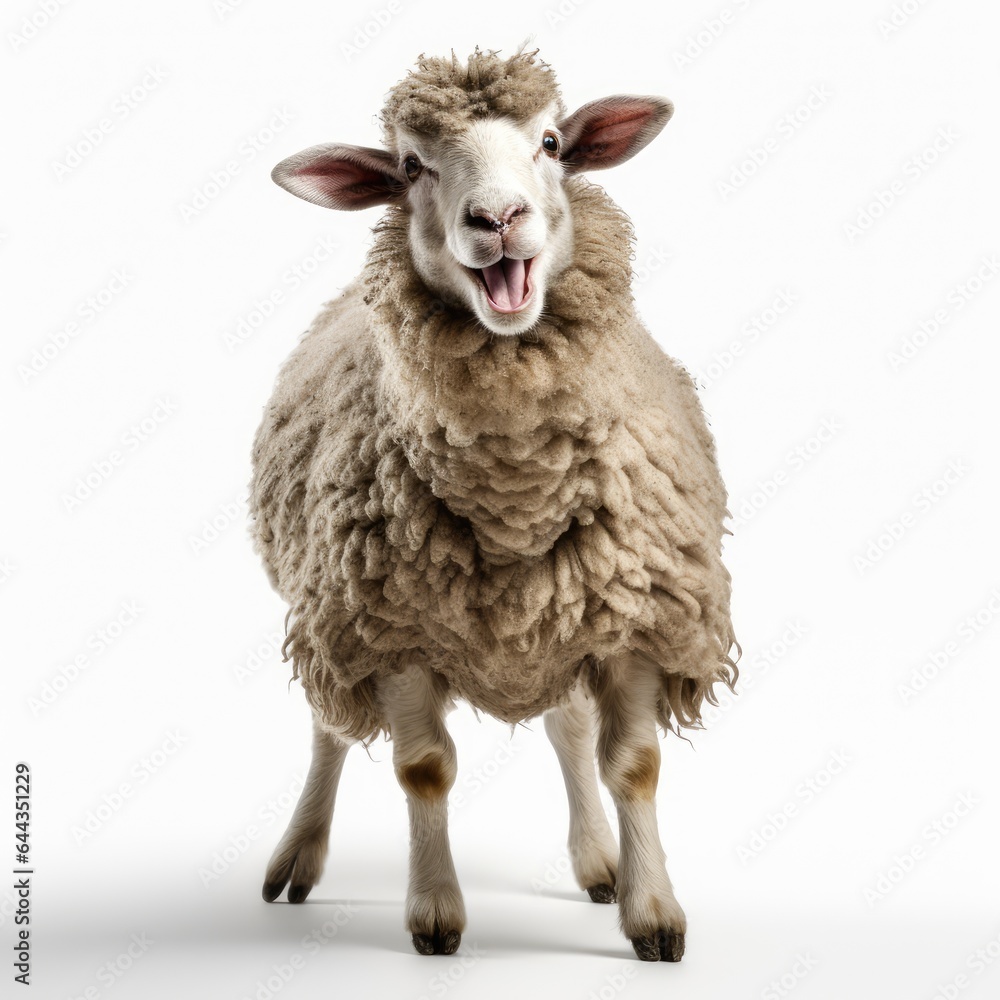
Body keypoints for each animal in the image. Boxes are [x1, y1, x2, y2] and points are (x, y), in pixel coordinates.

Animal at [249, 46, 738, 963]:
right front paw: (435, 913)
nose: (499, 217)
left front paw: (652, 911)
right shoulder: (391, 626)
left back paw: (598, 862)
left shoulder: (632, 616)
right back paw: (297, 856)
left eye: (551, 142)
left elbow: (633, 765)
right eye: (411, 165)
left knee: (569, 730)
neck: (517, 497)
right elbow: (423, 768)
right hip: (334, 606)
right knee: (331, 728)